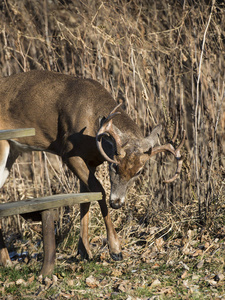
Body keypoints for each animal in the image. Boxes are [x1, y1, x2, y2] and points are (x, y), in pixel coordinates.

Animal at [0, 69, 185, 262]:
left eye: (138, 172)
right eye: (114, 166)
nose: (117, 203)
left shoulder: (91, 161)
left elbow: (86, 199)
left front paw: (84, 251)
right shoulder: (69, 153)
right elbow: (99, 191)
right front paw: (115, 249)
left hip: (13, 151)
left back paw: (7, 261)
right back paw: (7, 260)